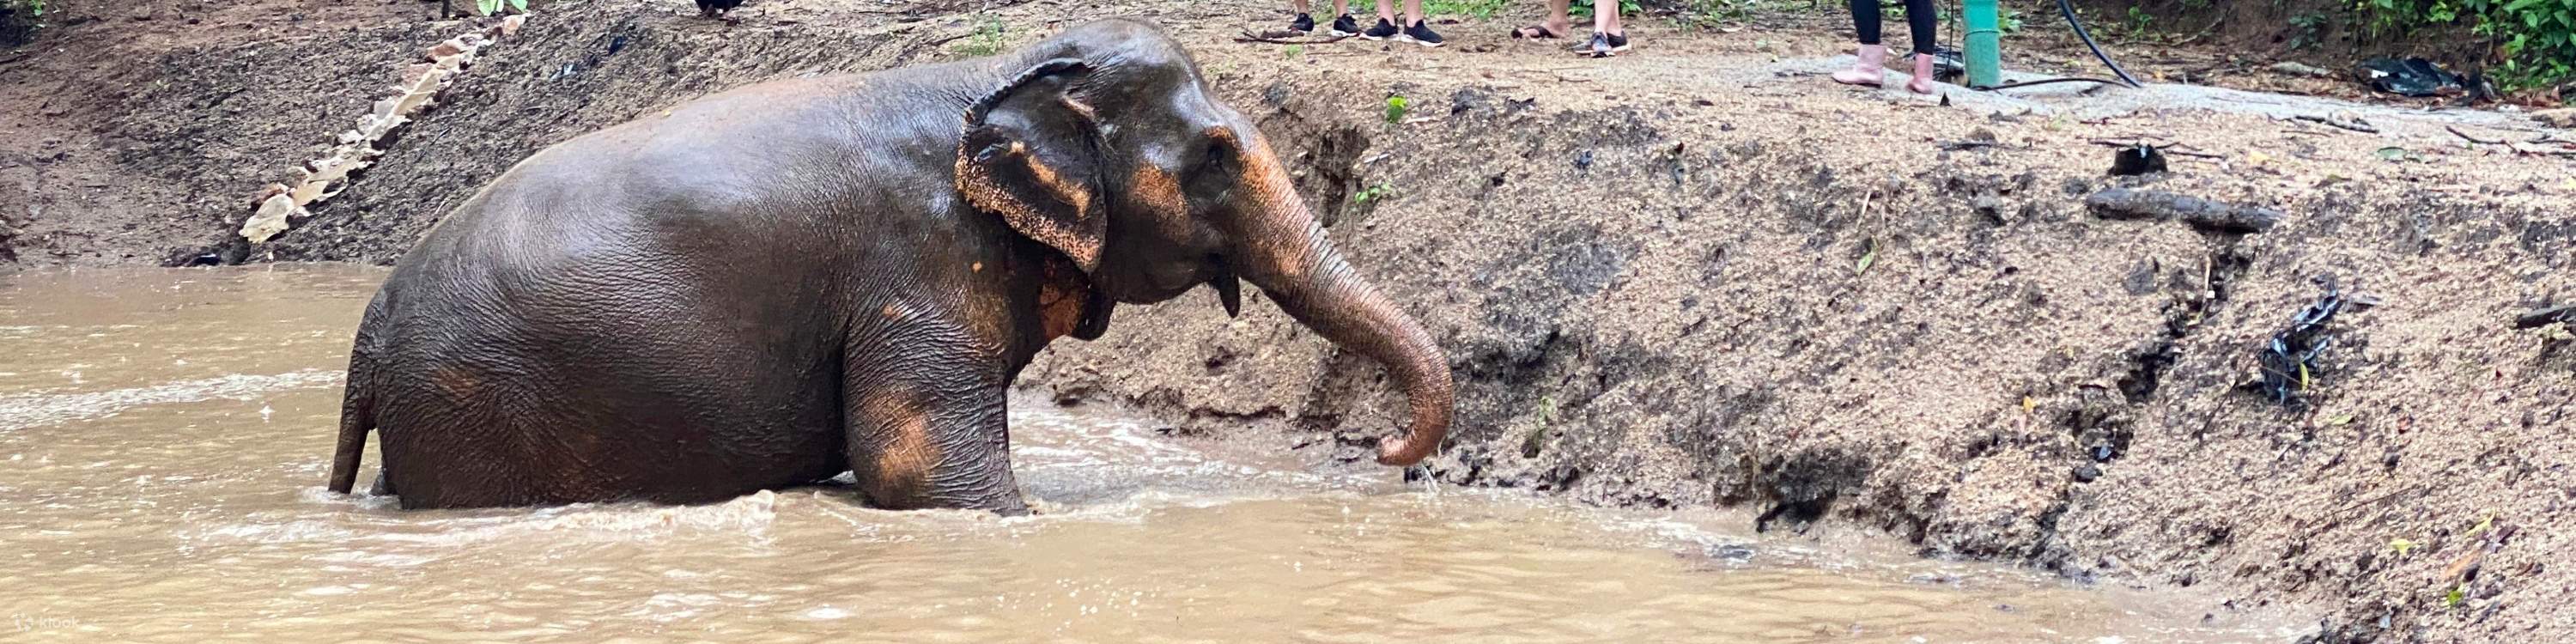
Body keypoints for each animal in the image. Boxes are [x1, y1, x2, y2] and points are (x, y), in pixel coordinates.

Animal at [325, 19, 1453, 513]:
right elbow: (917, 464)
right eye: (1215, 155)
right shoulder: (916, 263)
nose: (1386, 455)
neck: (999, 73)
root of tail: (366, 342)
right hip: (475, 408)